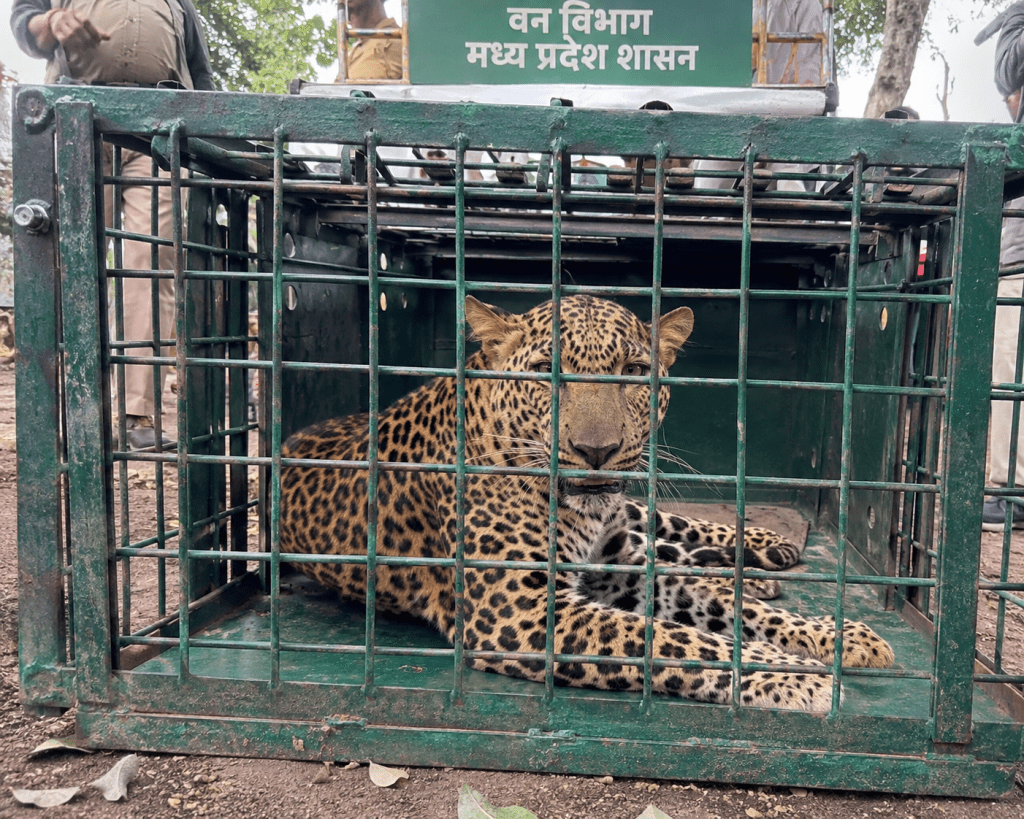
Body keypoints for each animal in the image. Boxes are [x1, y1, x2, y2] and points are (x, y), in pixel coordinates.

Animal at [280, 295, 894, 710]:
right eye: (545, 373)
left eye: (634, 373)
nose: (595, 451)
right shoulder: (520, 612)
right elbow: (677, 640)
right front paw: (804, 675)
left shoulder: (611, 570)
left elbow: (716, 615)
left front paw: (842, 637)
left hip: (631, 518)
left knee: (670, 529)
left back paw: (765, 550)